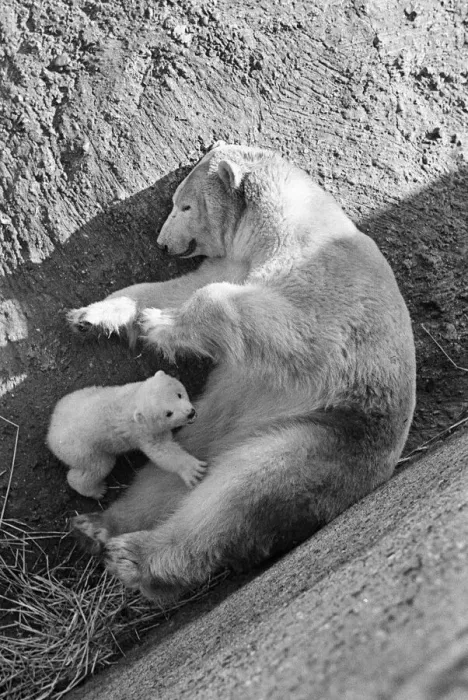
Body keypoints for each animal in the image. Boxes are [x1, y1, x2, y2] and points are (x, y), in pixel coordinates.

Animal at [47, 370, 206, 499]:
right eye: (168, 413)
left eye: (179, 394)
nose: (190, 413)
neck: (133, 400)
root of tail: (51, 435)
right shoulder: (144, 432)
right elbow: (162, 451)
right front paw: (193, 470)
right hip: (82, 449)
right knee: (99, 466)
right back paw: (97, 490)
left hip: (74, 398)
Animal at [67, 143, 416, 603]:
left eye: (184, 204)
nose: (161, 245)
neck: (290, 222)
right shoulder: (237, 261)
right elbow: (176, 287)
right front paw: (93, 316)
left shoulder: (327, 285)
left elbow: (285, 324)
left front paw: (161, 324)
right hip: (213, 426)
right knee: (170, 473)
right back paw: (95, 527)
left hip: (326, 436)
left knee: (242, 490)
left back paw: (134, 557)